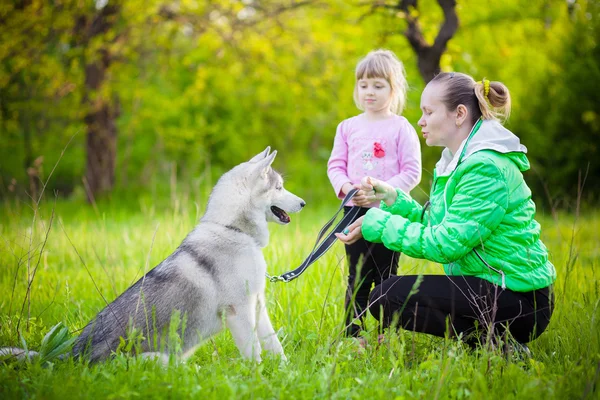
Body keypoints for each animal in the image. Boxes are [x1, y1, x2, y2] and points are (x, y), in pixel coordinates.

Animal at [1, 148, 304, 364]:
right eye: (279, 188)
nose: (303, 203)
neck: (234, 230)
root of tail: (72, 358)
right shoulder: (238, 310)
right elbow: (254, 353)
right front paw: (258, 379)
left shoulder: (256, 305)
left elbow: (274, 345)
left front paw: (285, 373)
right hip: (156, 360)